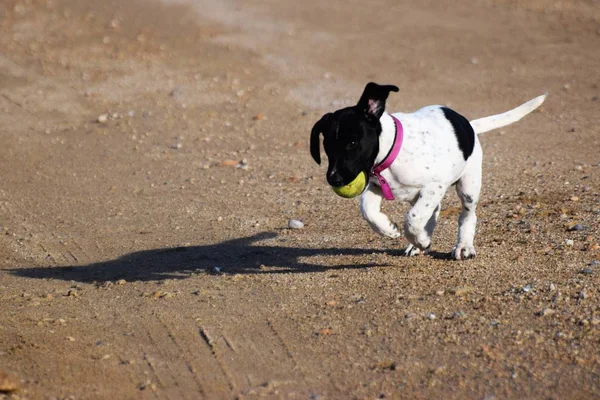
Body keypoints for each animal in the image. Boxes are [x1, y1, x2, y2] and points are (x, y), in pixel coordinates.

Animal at [312, 83, 548, 260]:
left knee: (466, 216)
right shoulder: (377, 185)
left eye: (352, 142)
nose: (334, 179)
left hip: (468, 187)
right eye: (327, 147)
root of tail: (470, 126)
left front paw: (422, 240)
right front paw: (389, 229)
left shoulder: (435, 186)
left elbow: (413, 218)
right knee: (433, 213)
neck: (392, 150)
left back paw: (463, 246)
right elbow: (367, 209)